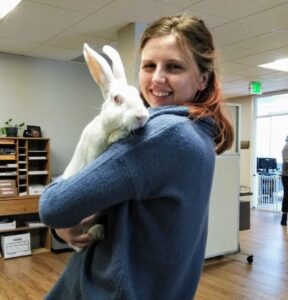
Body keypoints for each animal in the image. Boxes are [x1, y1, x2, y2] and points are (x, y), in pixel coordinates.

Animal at [62, 44, 148, 251]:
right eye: (117, 99)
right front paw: (120, 135)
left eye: (138, 95)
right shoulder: (95, 151)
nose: (141, 116)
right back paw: (98, 232)